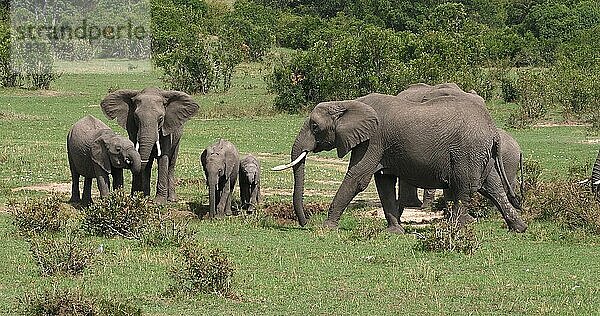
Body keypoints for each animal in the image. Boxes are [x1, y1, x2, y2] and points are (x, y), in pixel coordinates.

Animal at [274, 82, 528, 233]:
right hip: (482, 154)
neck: (349, 103)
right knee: (493, 187)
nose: (305, 223)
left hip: (468, 152)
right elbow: (383, 181)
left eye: (315, 127)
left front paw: (326, 229)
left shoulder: (374, 140)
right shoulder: (381, 145)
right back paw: (519, 228)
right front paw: (395, 231)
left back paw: (459, 227)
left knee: (465, 186)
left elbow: (358, 178)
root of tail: (493, 130)